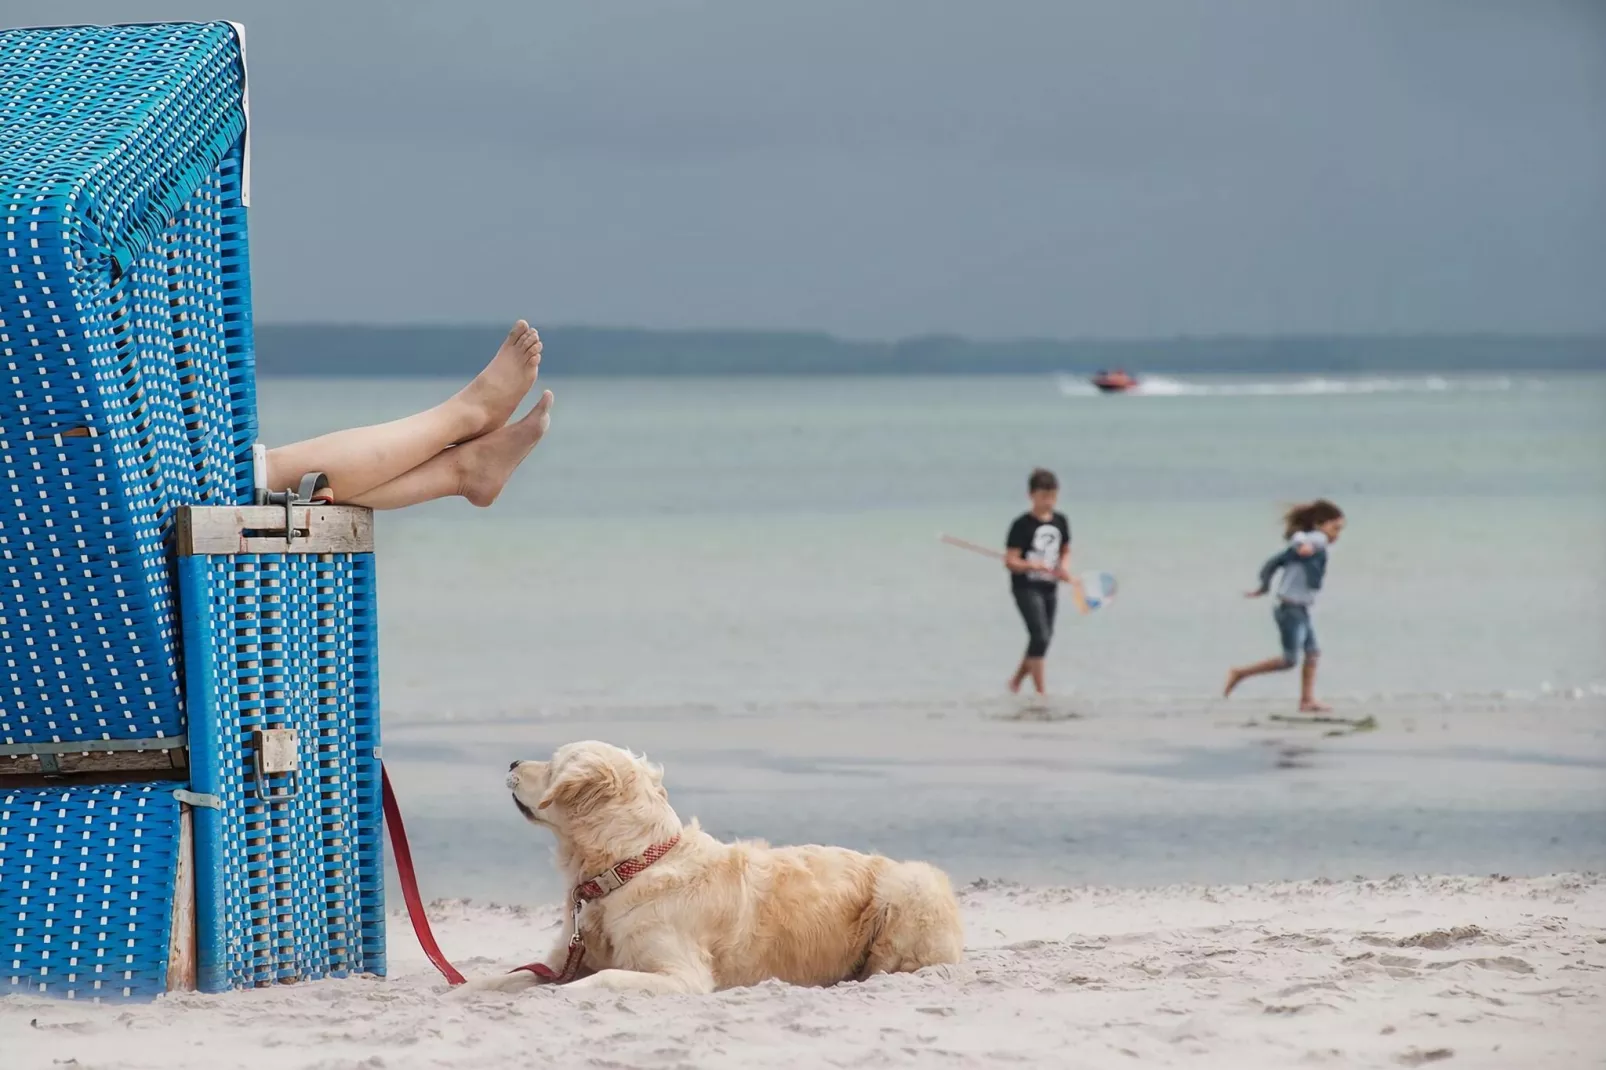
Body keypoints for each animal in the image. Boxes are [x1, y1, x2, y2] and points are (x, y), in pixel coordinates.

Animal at [465, 732, 963, 989]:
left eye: (552, 766)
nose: (511, 761)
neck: (626, 868)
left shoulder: (678, 974)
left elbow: (596, 981)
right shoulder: (561, 958)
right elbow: (491, 981)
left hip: (908, 889)